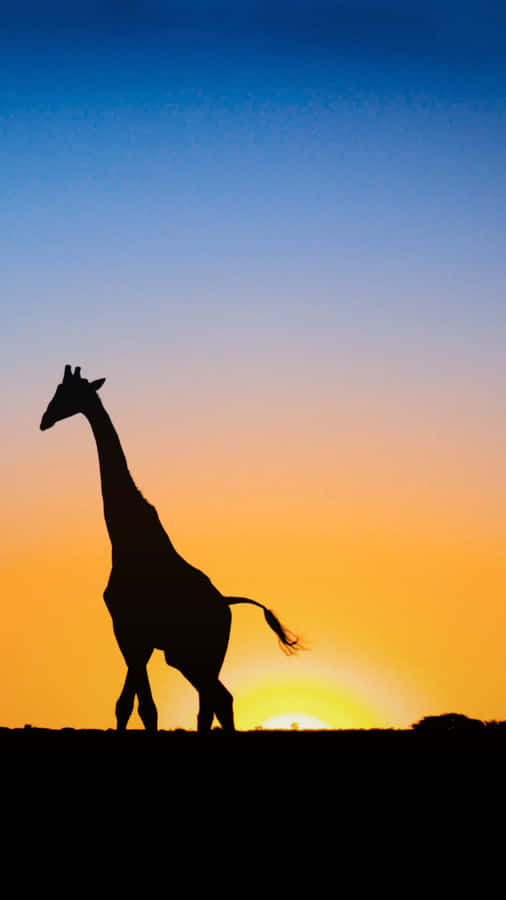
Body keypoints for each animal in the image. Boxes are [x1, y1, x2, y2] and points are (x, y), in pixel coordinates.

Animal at [40, 365, 300, 732]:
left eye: (67, 393)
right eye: (57, 390)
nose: (45, 419)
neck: (125, 538)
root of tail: (226, 604)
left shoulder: (130, 631)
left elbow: (141, 707)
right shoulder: (135, 636)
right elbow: (130, 705)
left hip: (196, 654)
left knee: (218, 700)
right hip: (190, 657)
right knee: (215, 701)